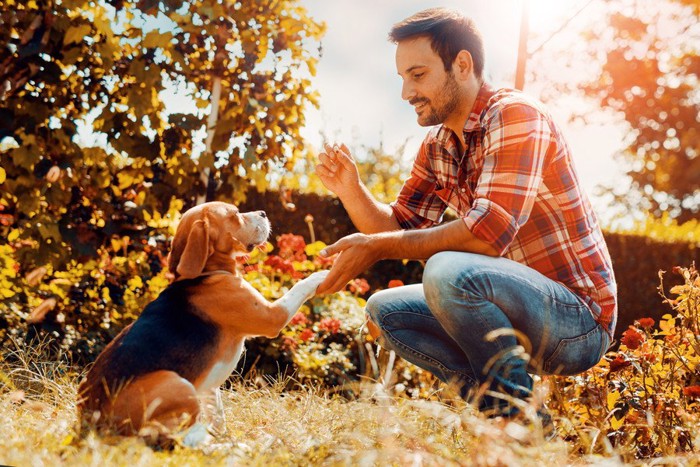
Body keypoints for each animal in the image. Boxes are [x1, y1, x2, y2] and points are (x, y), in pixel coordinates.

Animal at [78, 201, 330, 446]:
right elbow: (300, 286)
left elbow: (217, 413)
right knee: (179, 439)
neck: (204, 275)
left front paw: (223, 434)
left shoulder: (209, 388)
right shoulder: (273, 315)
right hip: (178, 384)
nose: (263, 212)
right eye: (235, 215)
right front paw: (323, 273)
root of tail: (92, 423)